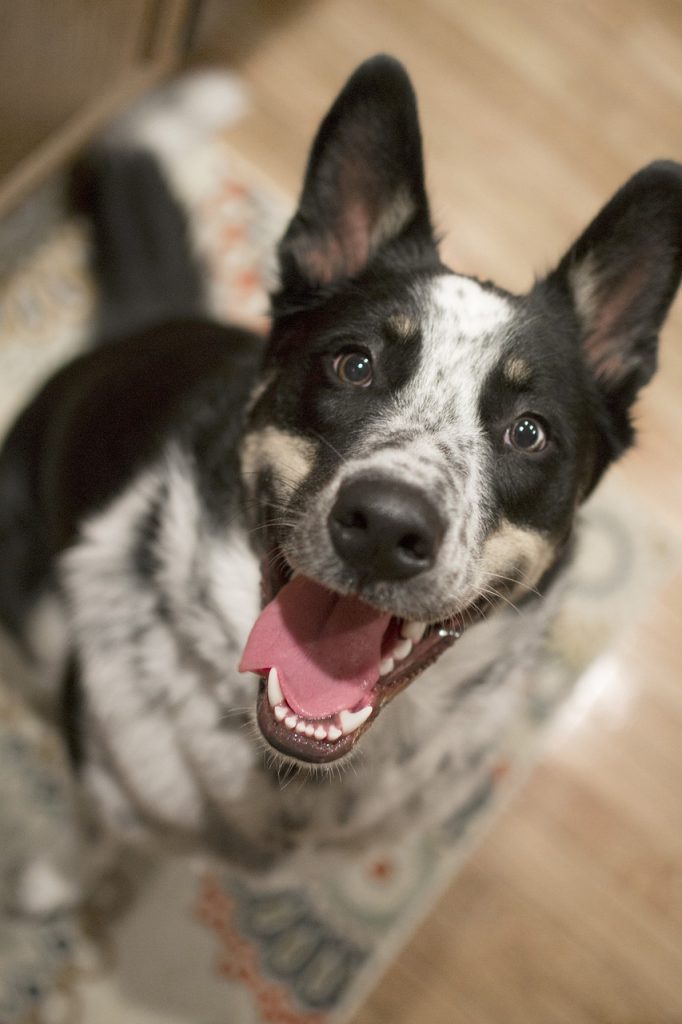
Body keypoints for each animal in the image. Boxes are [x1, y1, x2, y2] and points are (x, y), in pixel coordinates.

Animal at [1, 58, 679, 913]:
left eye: (529, 432)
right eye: (353, 364)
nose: (386, 528)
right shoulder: (105, 758)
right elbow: (94, 824)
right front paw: (56, 881)